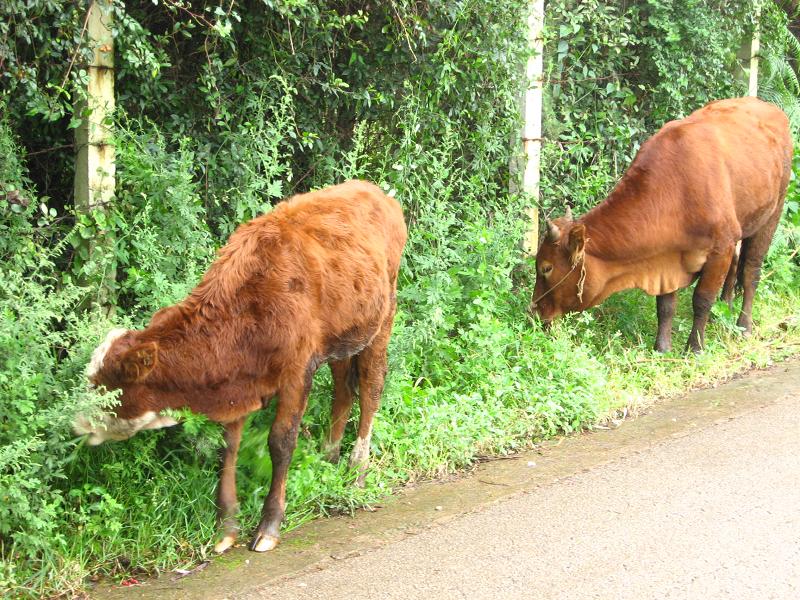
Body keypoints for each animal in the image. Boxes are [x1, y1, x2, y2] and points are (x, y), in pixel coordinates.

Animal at [72, 182, 406, 552]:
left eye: (108, 391)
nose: (75, 423)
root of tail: (375, 192)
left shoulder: (296, 371)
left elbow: (281, 442)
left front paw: (270, 524)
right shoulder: (237, 380)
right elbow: (226, 448)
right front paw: (226, 526)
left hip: (382, 320)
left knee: (371, 391)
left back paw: (357, 469)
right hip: (344, 337)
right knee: (343, 390)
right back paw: (328, 456)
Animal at [532, 98, 792, 352]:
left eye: (546, 268)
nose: (534, 310)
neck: (676, 192)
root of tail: (772, 109)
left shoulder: (721, 247)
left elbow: (702, 299)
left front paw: (695, 347)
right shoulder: (666, 258)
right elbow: (665, 305)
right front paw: (662, 347)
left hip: (773, 212)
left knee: (750, 272)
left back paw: (744, 326)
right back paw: (723, 309)